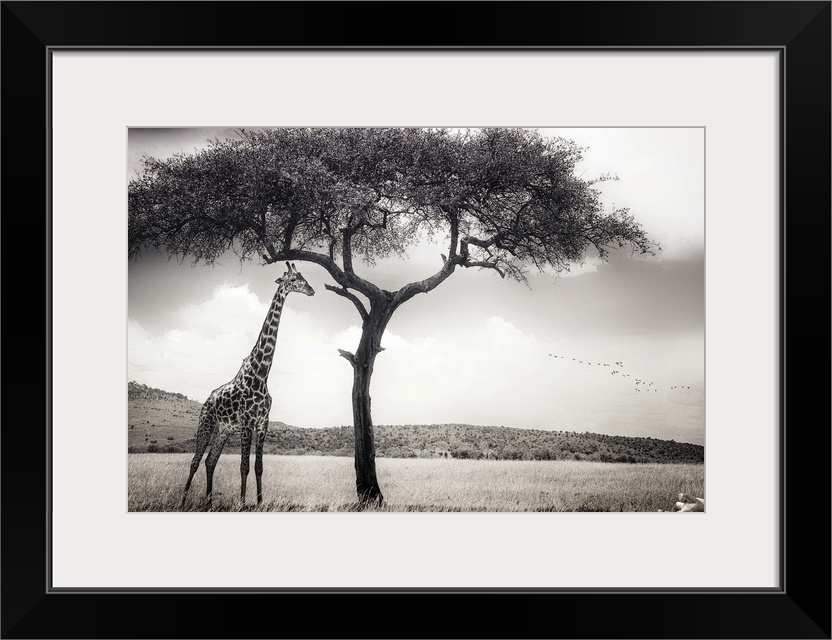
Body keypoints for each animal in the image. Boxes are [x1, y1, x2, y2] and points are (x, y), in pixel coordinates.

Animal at [180, 262, 314, 508]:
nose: (311, 290)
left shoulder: (262, 424)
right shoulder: (246, 424)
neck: (261, 375)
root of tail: (207, 399)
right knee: (195, 461)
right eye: (293, 279)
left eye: (304, 277)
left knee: (210, 461)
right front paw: (242, 504)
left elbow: (258, 467)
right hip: (206, 424)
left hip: (223, 430)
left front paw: (260, 503)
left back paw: (209, 503)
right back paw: (183, 501)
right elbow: (244, 467)